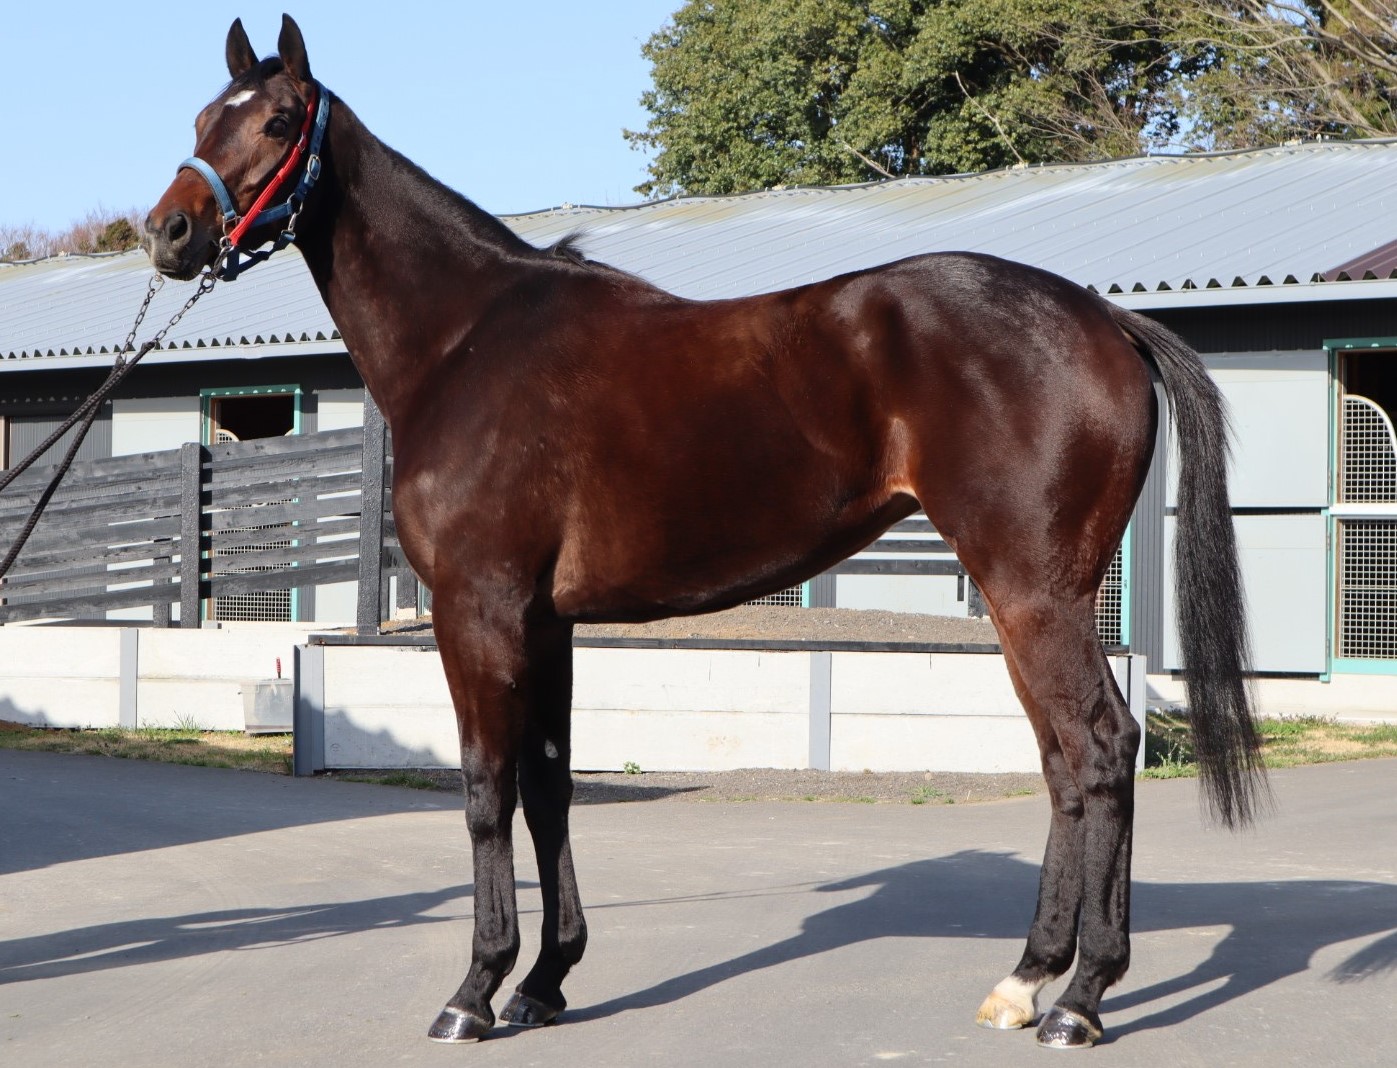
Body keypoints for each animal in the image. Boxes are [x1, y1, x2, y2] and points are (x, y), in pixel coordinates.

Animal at [143, 15, 1264, 1049]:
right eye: (199, 119)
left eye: (276, 121)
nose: (168, 234)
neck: (469, 340)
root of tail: (1102, 317)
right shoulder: (545, 622)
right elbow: (548, 785)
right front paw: (546, 981)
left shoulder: (480, 612)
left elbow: (484, 788)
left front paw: (475, 991)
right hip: (1027, 600)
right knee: (1067, 763)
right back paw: (1029, 981)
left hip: (1034, 593)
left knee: (1099, 750)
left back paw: (1078, 1000)